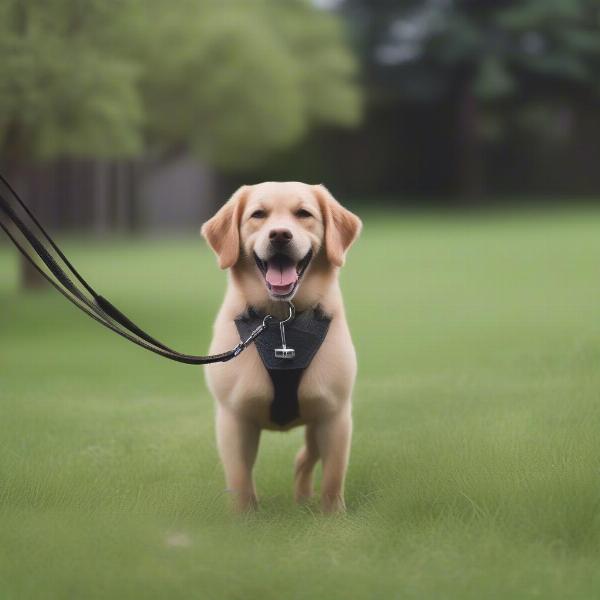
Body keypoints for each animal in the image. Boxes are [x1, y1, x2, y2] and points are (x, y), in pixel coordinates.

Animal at [202, 182, 360, 510]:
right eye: (258, 215)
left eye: (304, 214)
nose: (279, 235)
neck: (282, 318)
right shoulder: (233, 418)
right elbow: (240, 481)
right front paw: (244, 516)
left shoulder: (335, 415)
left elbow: (333, 479)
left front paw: (333, 516)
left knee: (304, 458)